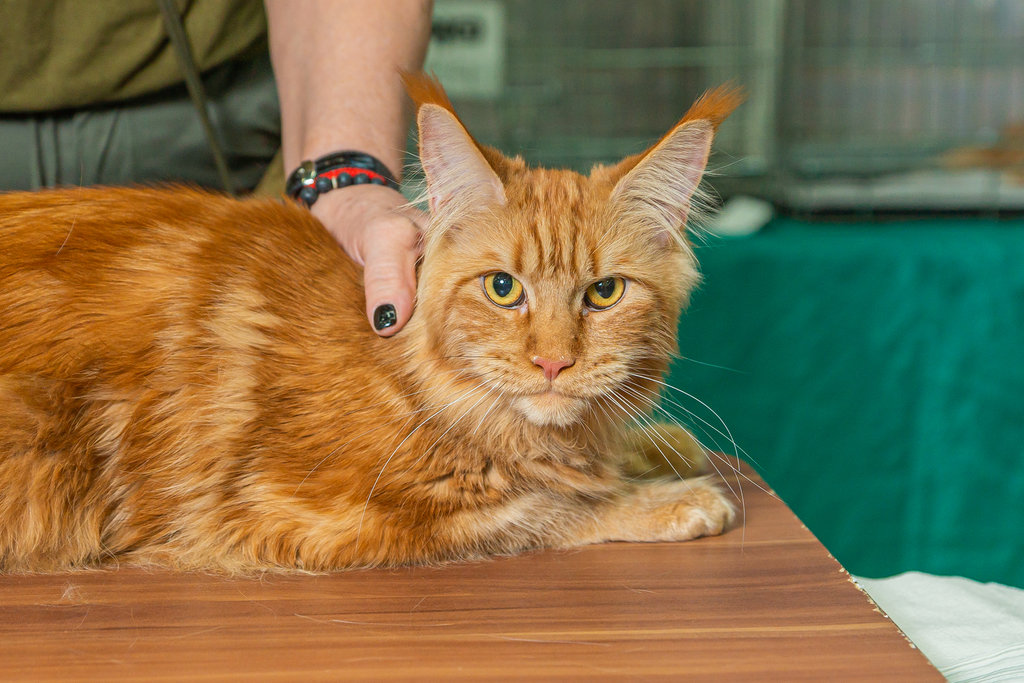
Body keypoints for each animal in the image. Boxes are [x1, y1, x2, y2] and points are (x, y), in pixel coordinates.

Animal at [0, 74, 742, 573]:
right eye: (503, 288)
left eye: (605, 292)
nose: (553, 362)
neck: (413, 376)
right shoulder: (290, 515)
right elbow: (551, 507)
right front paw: (670, 498)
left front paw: (655, 444)